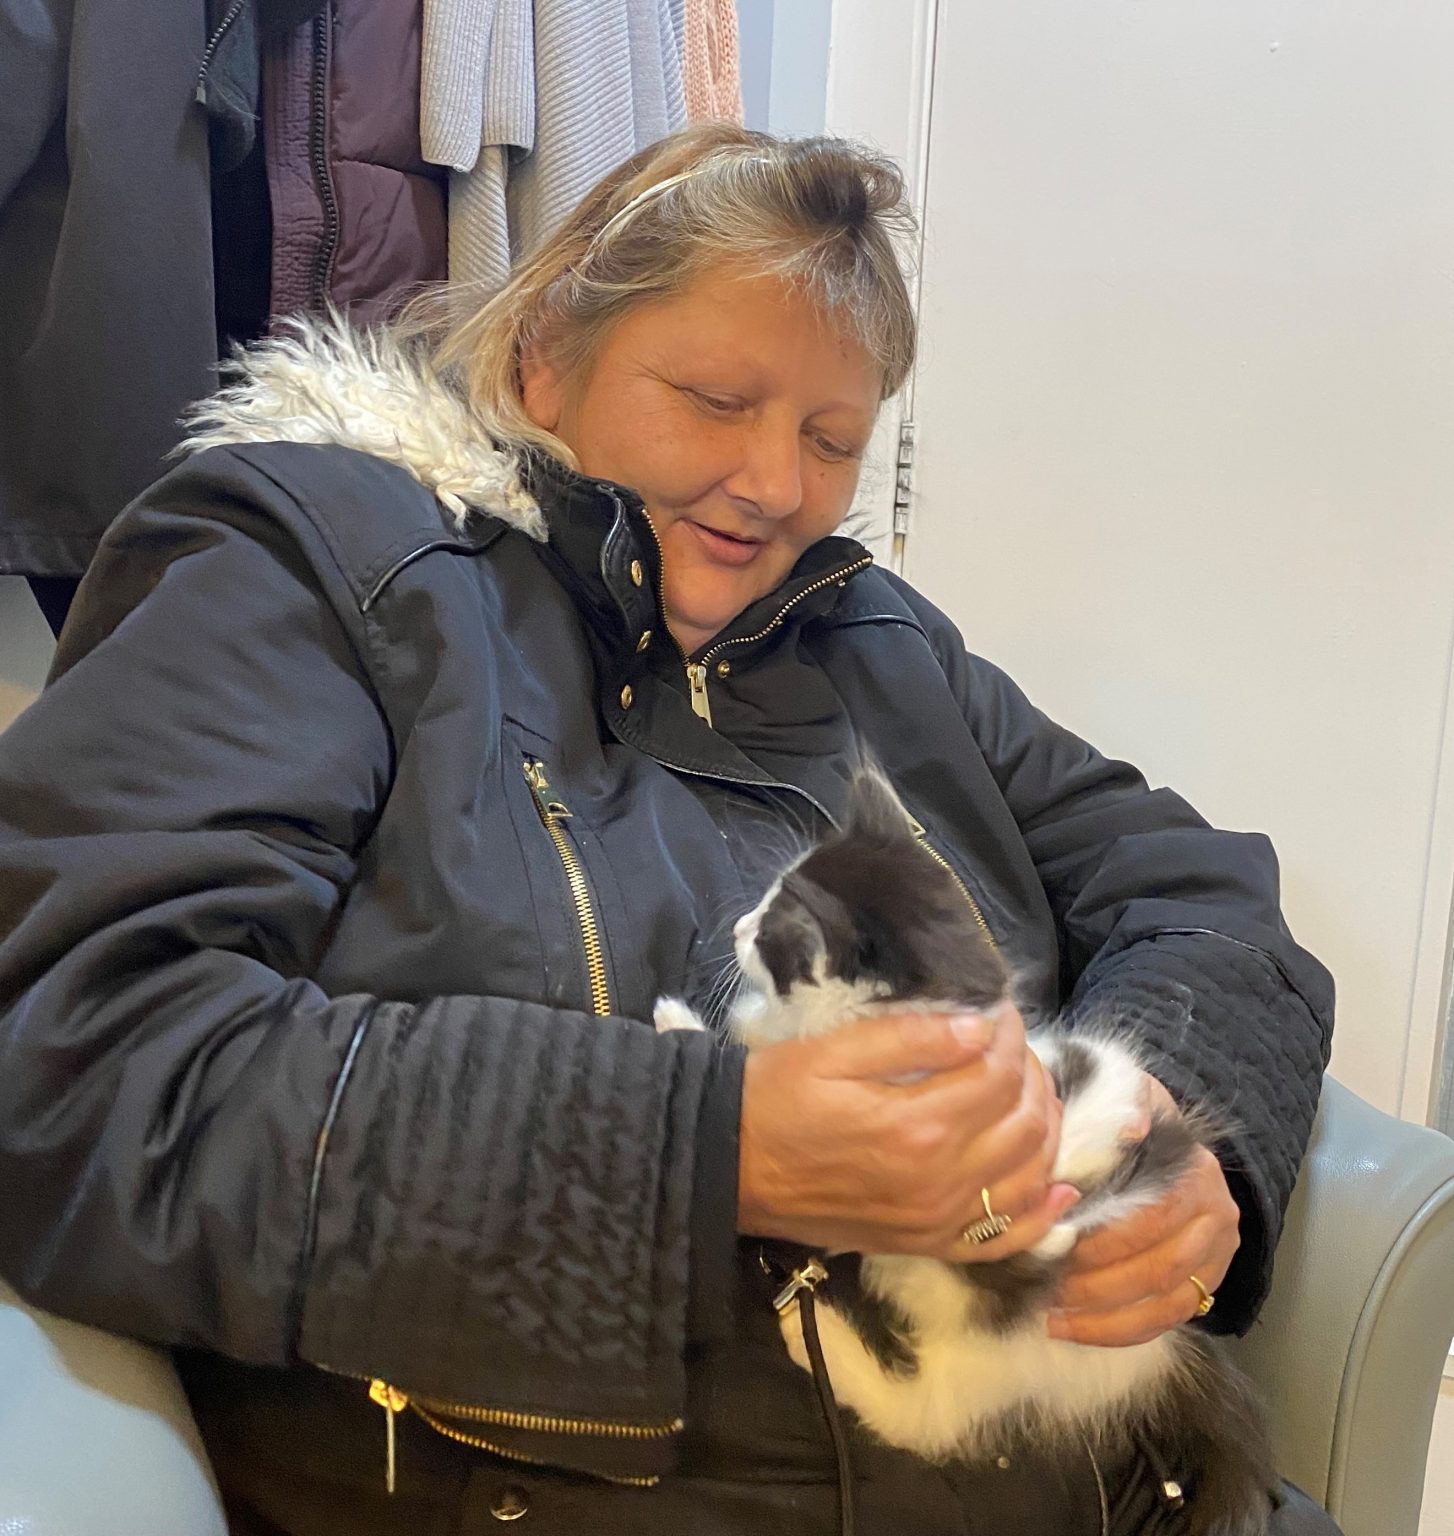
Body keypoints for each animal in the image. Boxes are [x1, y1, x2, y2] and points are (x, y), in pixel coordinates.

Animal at [655, 766, 1274, 1536]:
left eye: (773, 931)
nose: (738, 925)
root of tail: (1156, 1352)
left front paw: (682, 1029)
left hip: (994, 1359)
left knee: (927, 1415)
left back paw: (814, 1331)